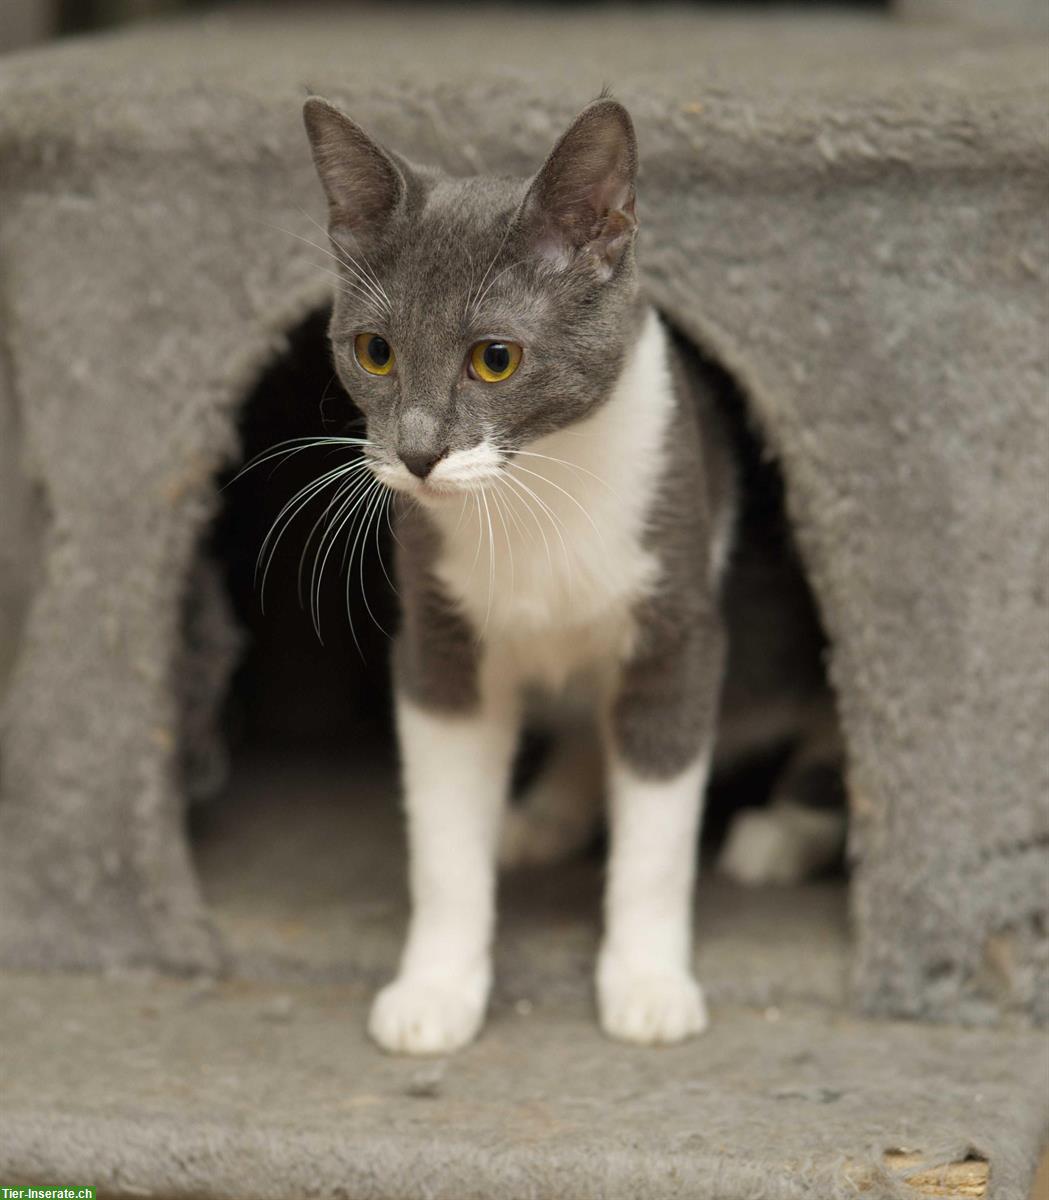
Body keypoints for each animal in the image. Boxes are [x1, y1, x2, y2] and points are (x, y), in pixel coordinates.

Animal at [302, 93, 840, 1056]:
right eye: (373, 351)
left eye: (496, 358)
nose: (418, 454)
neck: (529, 496)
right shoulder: (439, 638)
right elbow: (442, 833)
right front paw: (434, 990)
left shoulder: (677, 623)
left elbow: (658, 828)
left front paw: (649, 985)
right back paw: (543, 814)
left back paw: (778, 831)